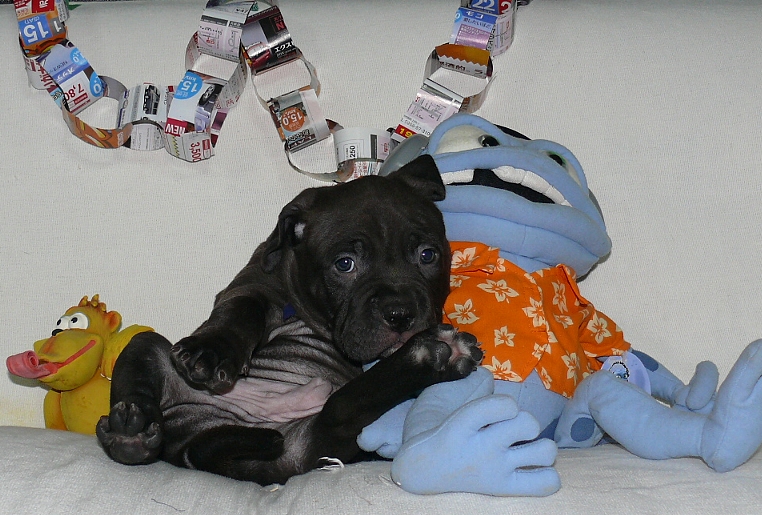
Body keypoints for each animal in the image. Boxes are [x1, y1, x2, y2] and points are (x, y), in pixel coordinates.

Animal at [96, 155, 483, 485]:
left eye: (428, 255)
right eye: (345, 264)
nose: (400, 314)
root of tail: (188, 449)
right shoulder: (252, 282)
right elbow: (241, 310)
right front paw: (212, 350)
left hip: (315, 446)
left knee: (339, 410)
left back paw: (433, 355)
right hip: (148, 347)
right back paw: (131, 433)